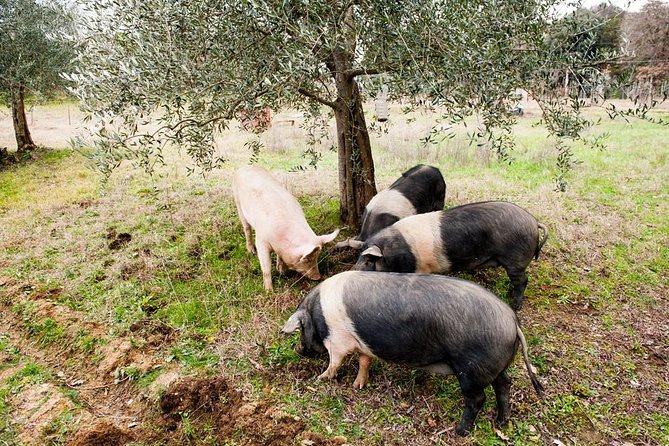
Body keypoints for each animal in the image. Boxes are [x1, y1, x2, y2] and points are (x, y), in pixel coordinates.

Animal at [281, 271, 544, 436]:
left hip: (470, 369)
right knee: (504, 384)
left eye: (300, 329)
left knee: (477, 399)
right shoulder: (363, 345)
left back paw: (460, 431)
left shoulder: (338, 341)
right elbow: (365, 361)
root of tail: (512, 322)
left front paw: (320, 379)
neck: (318, 315)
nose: (297, 349)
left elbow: (335, 362)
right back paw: (502, 421)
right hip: (493, 366)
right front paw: (358, 386)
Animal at [351, 201, 548, 310]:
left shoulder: (421, 268)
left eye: (369, 260)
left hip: (516, 259)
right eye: (359, 256)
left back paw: (515, 306)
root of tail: (534, 222)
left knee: (523, 280)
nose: (352, 271)